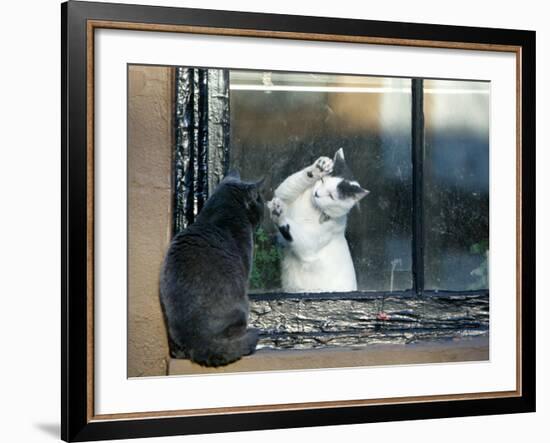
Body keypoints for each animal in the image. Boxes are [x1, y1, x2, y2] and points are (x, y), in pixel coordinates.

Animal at [268, 151, 370, 294]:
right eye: (322, 180)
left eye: (331, 195)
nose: (316, 193)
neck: (313, 208)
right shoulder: (283, 196)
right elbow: (286, 188)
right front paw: (319, 168)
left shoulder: (308, 247)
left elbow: (289, 230)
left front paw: (279, 215)